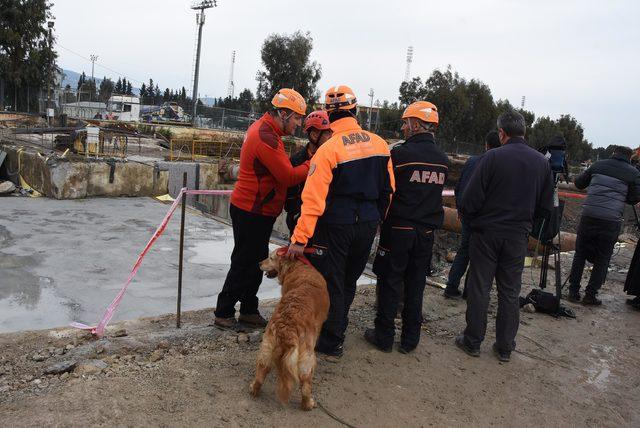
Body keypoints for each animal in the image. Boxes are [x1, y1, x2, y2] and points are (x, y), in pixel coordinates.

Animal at [250, 249, 330, 410]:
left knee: (261, 372)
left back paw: (254, 389)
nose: (259, 263)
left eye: (271, 258)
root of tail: (286, 325)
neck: (298, 267)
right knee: (305, 384)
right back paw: (308, 404)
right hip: (307, 356)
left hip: (267, 345)